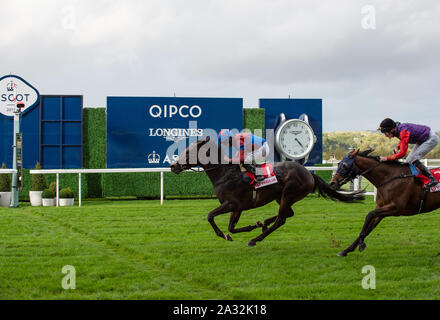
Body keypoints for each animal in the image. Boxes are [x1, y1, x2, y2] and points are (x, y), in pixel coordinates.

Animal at [170, 136, 362, 246]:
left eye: (188, 152)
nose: (173, 166)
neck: (225, 173)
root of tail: (309, 173)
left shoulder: (231, 203)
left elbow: (210, 216)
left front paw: (223, 235)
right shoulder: (237, 207)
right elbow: (232, 227)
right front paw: (249, 227)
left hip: (289, 194)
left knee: (281, 219)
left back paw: (256, 239)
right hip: (281, 197)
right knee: (287, 215)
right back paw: (263, 224)